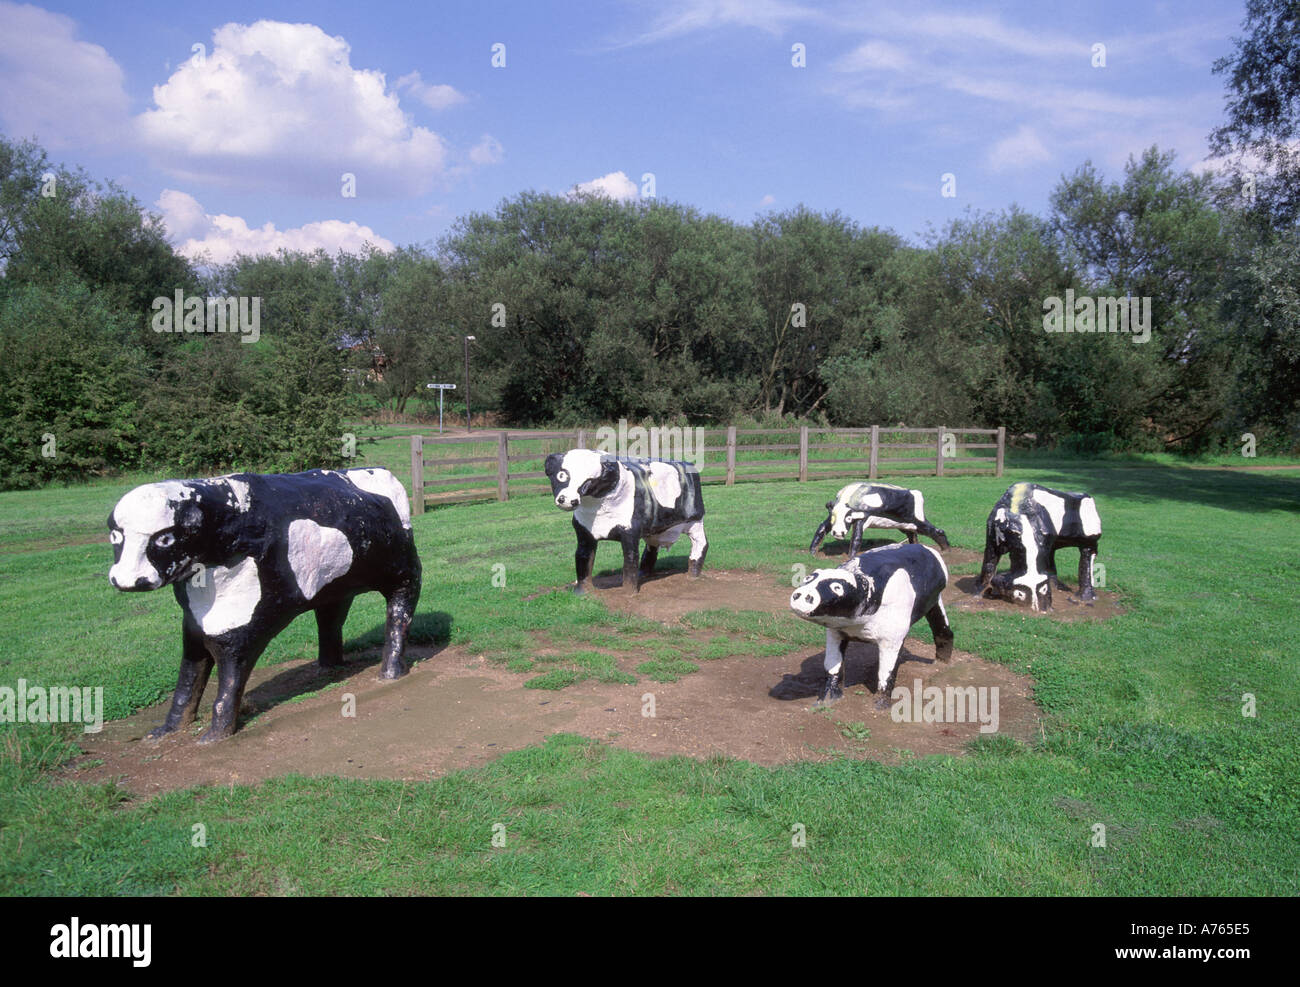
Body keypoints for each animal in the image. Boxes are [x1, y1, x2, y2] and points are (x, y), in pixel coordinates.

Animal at [107, 468, 421, 743]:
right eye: (115, 535)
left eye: (165, 538)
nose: (126, 579)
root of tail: (380, 471)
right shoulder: (194, 631)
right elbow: (186, 685)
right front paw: (165, 731)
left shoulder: (246, 628)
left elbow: (228, 683)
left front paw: (215, 735)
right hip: (335, 587)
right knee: (330, 619)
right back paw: (328, 668)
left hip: (403, 572)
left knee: (399, 612)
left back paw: (390, 671)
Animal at [544, 449, 707, 593]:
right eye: (562, 475)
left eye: (589, 481)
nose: (566, 500)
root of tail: (689, 464)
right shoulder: (584, 532)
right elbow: (582, 558)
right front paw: (581, 592)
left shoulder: (630, 531)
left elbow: (630, 559)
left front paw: (629, 593)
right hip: (655, 530)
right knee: (651, 549)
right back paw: (643, 574)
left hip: (695, 521)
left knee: (701, 545)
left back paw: (693, 574)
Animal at [790, 542, 953, 710]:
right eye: (808, 578)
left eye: (837, 588)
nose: (802, 595)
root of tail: (926, 548)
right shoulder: (835, 632)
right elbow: (832, 666)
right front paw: (827, 698)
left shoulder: (893, 638)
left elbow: (887, 672)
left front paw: (881, 705)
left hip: (934, 600)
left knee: (943, 630)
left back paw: (941, 663)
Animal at [808, 481, 950, 556]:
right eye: (833, 518)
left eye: (848, 519)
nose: (838, 533)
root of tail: (916, 493)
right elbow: (821, 528)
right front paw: (812, 552)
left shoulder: (862, 518)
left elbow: (856, 538)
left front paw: (851, 557)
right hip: (904, 524)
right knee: (912, 535)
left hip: (917, 521)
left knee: (937, 531)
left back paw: (945, 550)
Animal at [975, 481, 1101, 612]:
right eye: (1019, 594)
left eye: (1044, 589)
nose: (1041, 608)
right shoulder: (992, 539)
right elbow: (988, 565)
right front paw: (979, 592)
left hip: (1090, 537)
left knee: (1088, 554)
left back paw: (1086, 597)